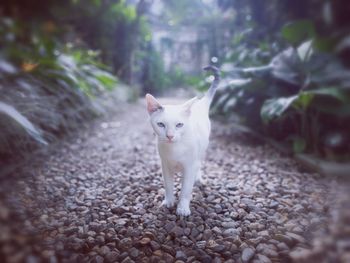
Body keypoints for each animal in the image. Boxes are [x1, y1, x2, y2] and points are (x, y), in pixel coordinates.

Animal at [145, 66, 219, 217]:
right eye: (161, 124)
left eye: (179, 125)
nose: (170, 136)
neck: (175, 149)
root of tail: (199, 104)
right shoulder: (165, 166)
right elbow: (168, 185)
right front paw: (168, 202)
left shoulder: (189, 166)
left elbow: (185, 190)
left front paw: (183, 208)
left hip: (201, 150)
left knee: (199, 164)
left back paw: (198, 179)